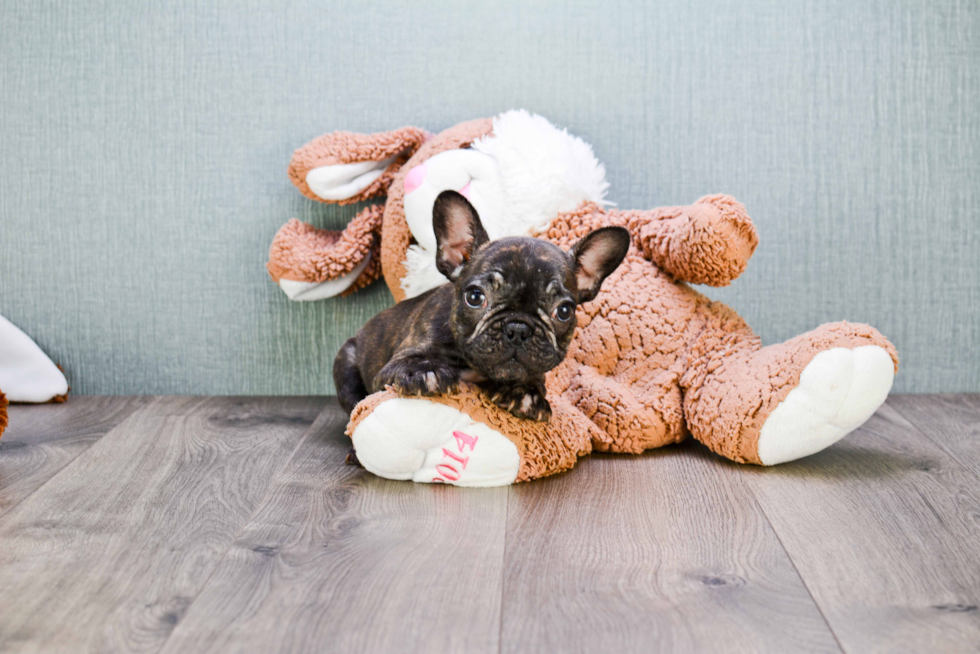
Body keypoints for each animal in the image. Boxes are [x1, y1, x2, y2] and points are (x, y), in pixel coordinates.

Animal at [334, 190, 632, 434]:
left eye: (564, 311)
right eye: (475, 297)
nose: (518, 328)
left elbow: (533, 381)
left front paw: (525, 394)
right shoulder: (390, 368)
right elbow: (410, 364)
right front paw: (424, 371)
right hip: (345, 364)